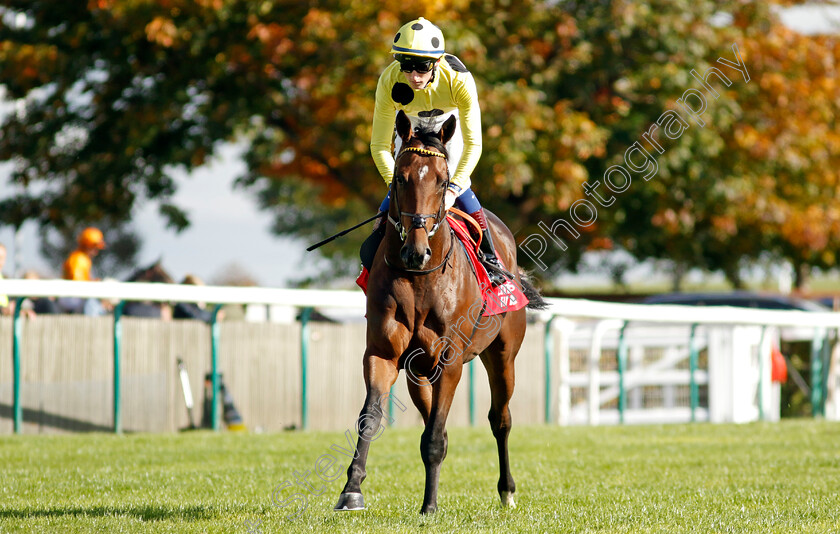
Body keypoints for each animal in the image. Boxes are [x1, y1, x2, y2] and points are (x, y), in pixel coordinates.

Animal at [338, 111, 548, 516]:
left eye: (442, 180)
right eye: (400, 178)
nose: (415, 252)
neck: (420, 278)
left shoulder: (449, 361)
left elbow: (434, 438)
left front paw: (429, 506)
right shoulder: (384, 354)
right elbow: (372, 418)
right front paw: (351, 490)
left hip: (503, 355)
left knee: (500, 419)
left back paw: (507, 491)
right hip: (419, 373)